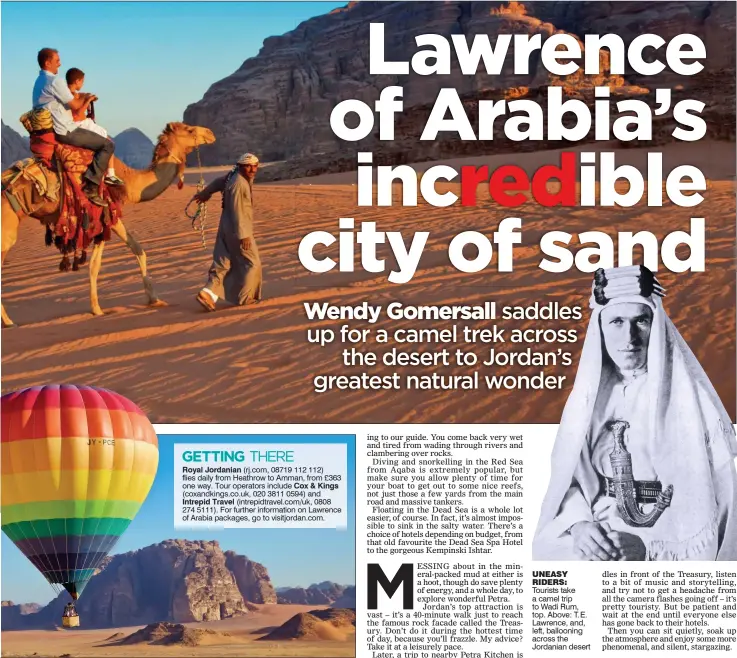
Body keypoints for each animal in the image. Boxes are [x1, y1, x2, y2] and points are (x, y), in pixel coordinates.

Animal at [1, 121, 216, 326]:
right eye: (189, 130)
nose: (210, 133)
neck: (127, 183)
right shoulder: (106, 214)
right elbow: (100, 263)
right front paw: (98, 309)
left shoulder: (104, 219)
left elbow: (134, 250)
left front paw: (153, 300)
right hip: (7, 229)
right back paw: (9, 322)